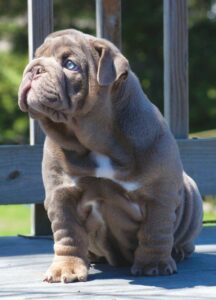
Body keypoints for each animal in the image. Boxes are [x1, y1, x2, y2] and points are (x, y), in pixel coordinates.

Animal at [18, 29, 202, 282]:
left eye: (70, 64)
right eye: (36, 57)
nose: (34, 68)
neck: (94, 140)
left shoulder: (159, 195)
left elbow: (155, 231)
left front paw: (153, 264)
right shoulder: (61, 195)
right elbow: (68, 234)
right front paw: (66, 268)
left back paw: (178, 251)